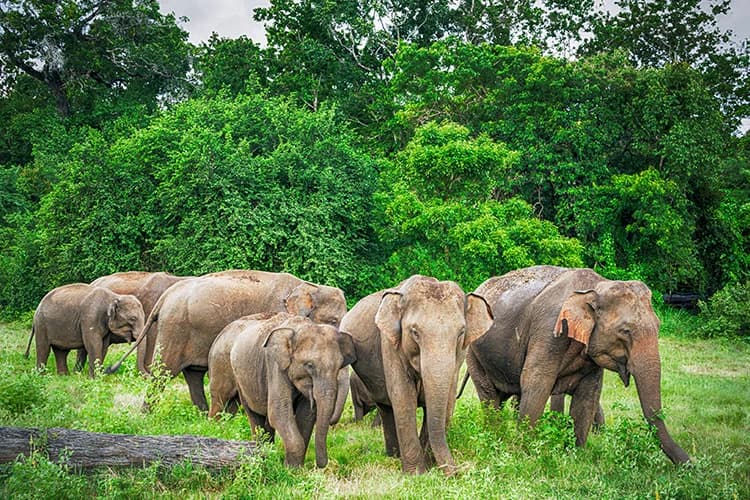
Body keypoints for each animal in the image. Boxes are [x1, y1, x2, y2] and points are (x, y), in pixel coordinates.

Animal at [108, 270, 348, 412]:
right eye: (333, 321)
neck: (310, 287)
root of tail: (166, 296)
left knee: (193, 375)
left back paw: (204, 414)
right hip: (174, 329)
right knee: (163, 373)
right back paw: (148, 414)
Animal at [207, 312, 356, 468]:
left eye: (339, 366)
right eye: (309, 365)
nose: (321, 465)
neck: (299, 327)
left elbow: (306, 415)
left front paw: (295, 468)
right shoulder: (275, 365)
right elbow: (279, 412)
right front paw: (291, 469)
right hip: (225, 367)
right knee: (234, 407)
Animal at [341, 275, 494, 475]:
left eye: (461, 332)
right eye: (414, 332)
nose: (457, 473)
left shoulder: (459, 356)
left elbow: (447, 401)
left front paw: (429, 466)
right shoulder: (390, 345)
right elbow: (404, 398)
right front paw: (416, 474)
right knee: (386, 407)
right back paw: (393, 457)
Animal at [466, 265, 690, 464]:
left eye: (658, 326)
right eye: (625, 331)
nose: (689, 463)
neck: (596, 287)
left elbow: (588, 395)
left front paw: (576, 456)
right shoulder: (549, 331)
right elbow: (536, 383)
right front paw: (525, 454)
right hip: (473, 352)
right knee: (490, 397)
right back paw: (493, 438)